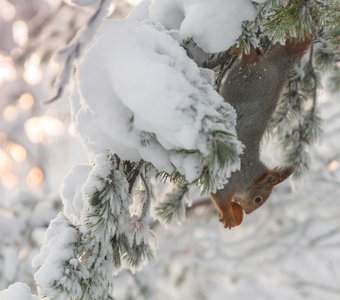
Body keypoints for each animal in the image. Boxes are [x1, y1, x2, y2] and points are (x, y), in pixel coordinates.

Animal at [211, 38, 312, 230]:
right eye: (258, 199)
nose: (249, 212)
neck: (250, 177)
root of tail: (278, 68)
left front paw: (235, 214)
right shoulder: (230, 178)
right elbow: (219, 196)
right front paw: (228, 215)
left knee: (255, 56)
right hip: (248, 80)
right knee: (251, 59)